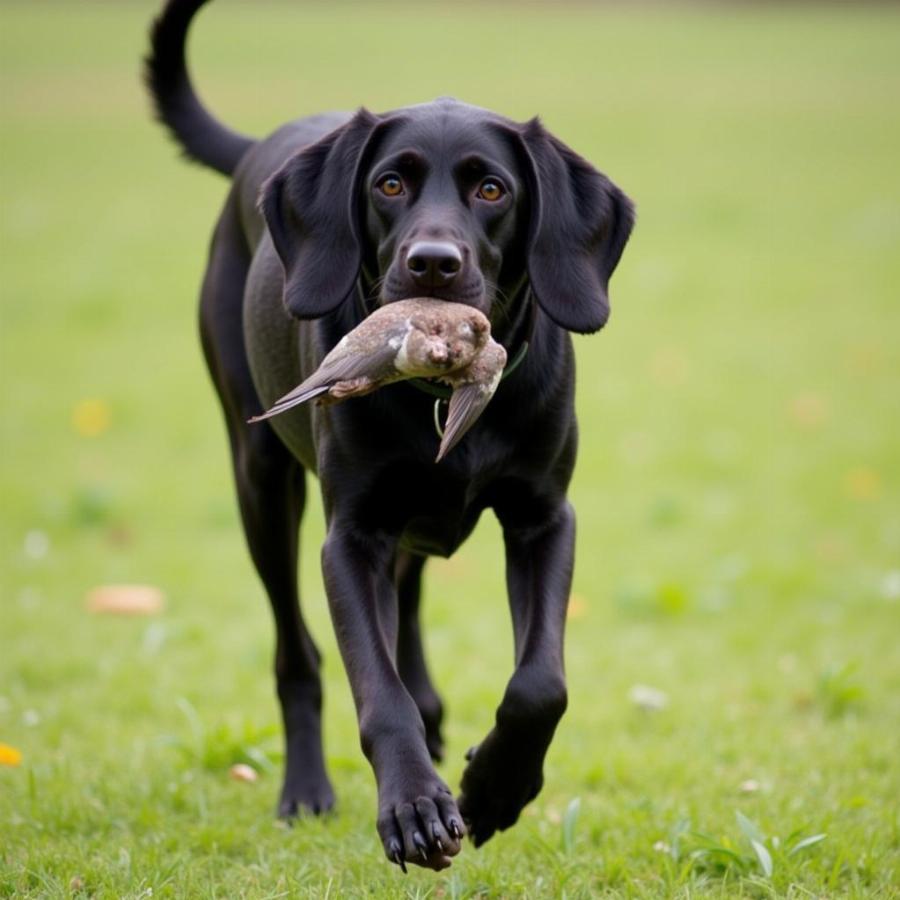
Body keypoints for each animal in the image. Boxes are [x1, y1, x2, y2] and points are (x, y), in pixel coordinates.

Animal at [146, 0, 632, 872]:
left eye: (492, 188)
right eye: (390, 183)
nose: (432, 263)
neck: (440, 392)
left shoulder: (545, 518)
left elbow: (540, 685)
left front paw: (496, 789)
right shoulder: (351, 537)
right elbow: (376, 689)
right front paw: (412, 804)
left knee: (407, 604)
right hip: (261, 483)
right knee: (298, 655)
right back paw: (308, 788)